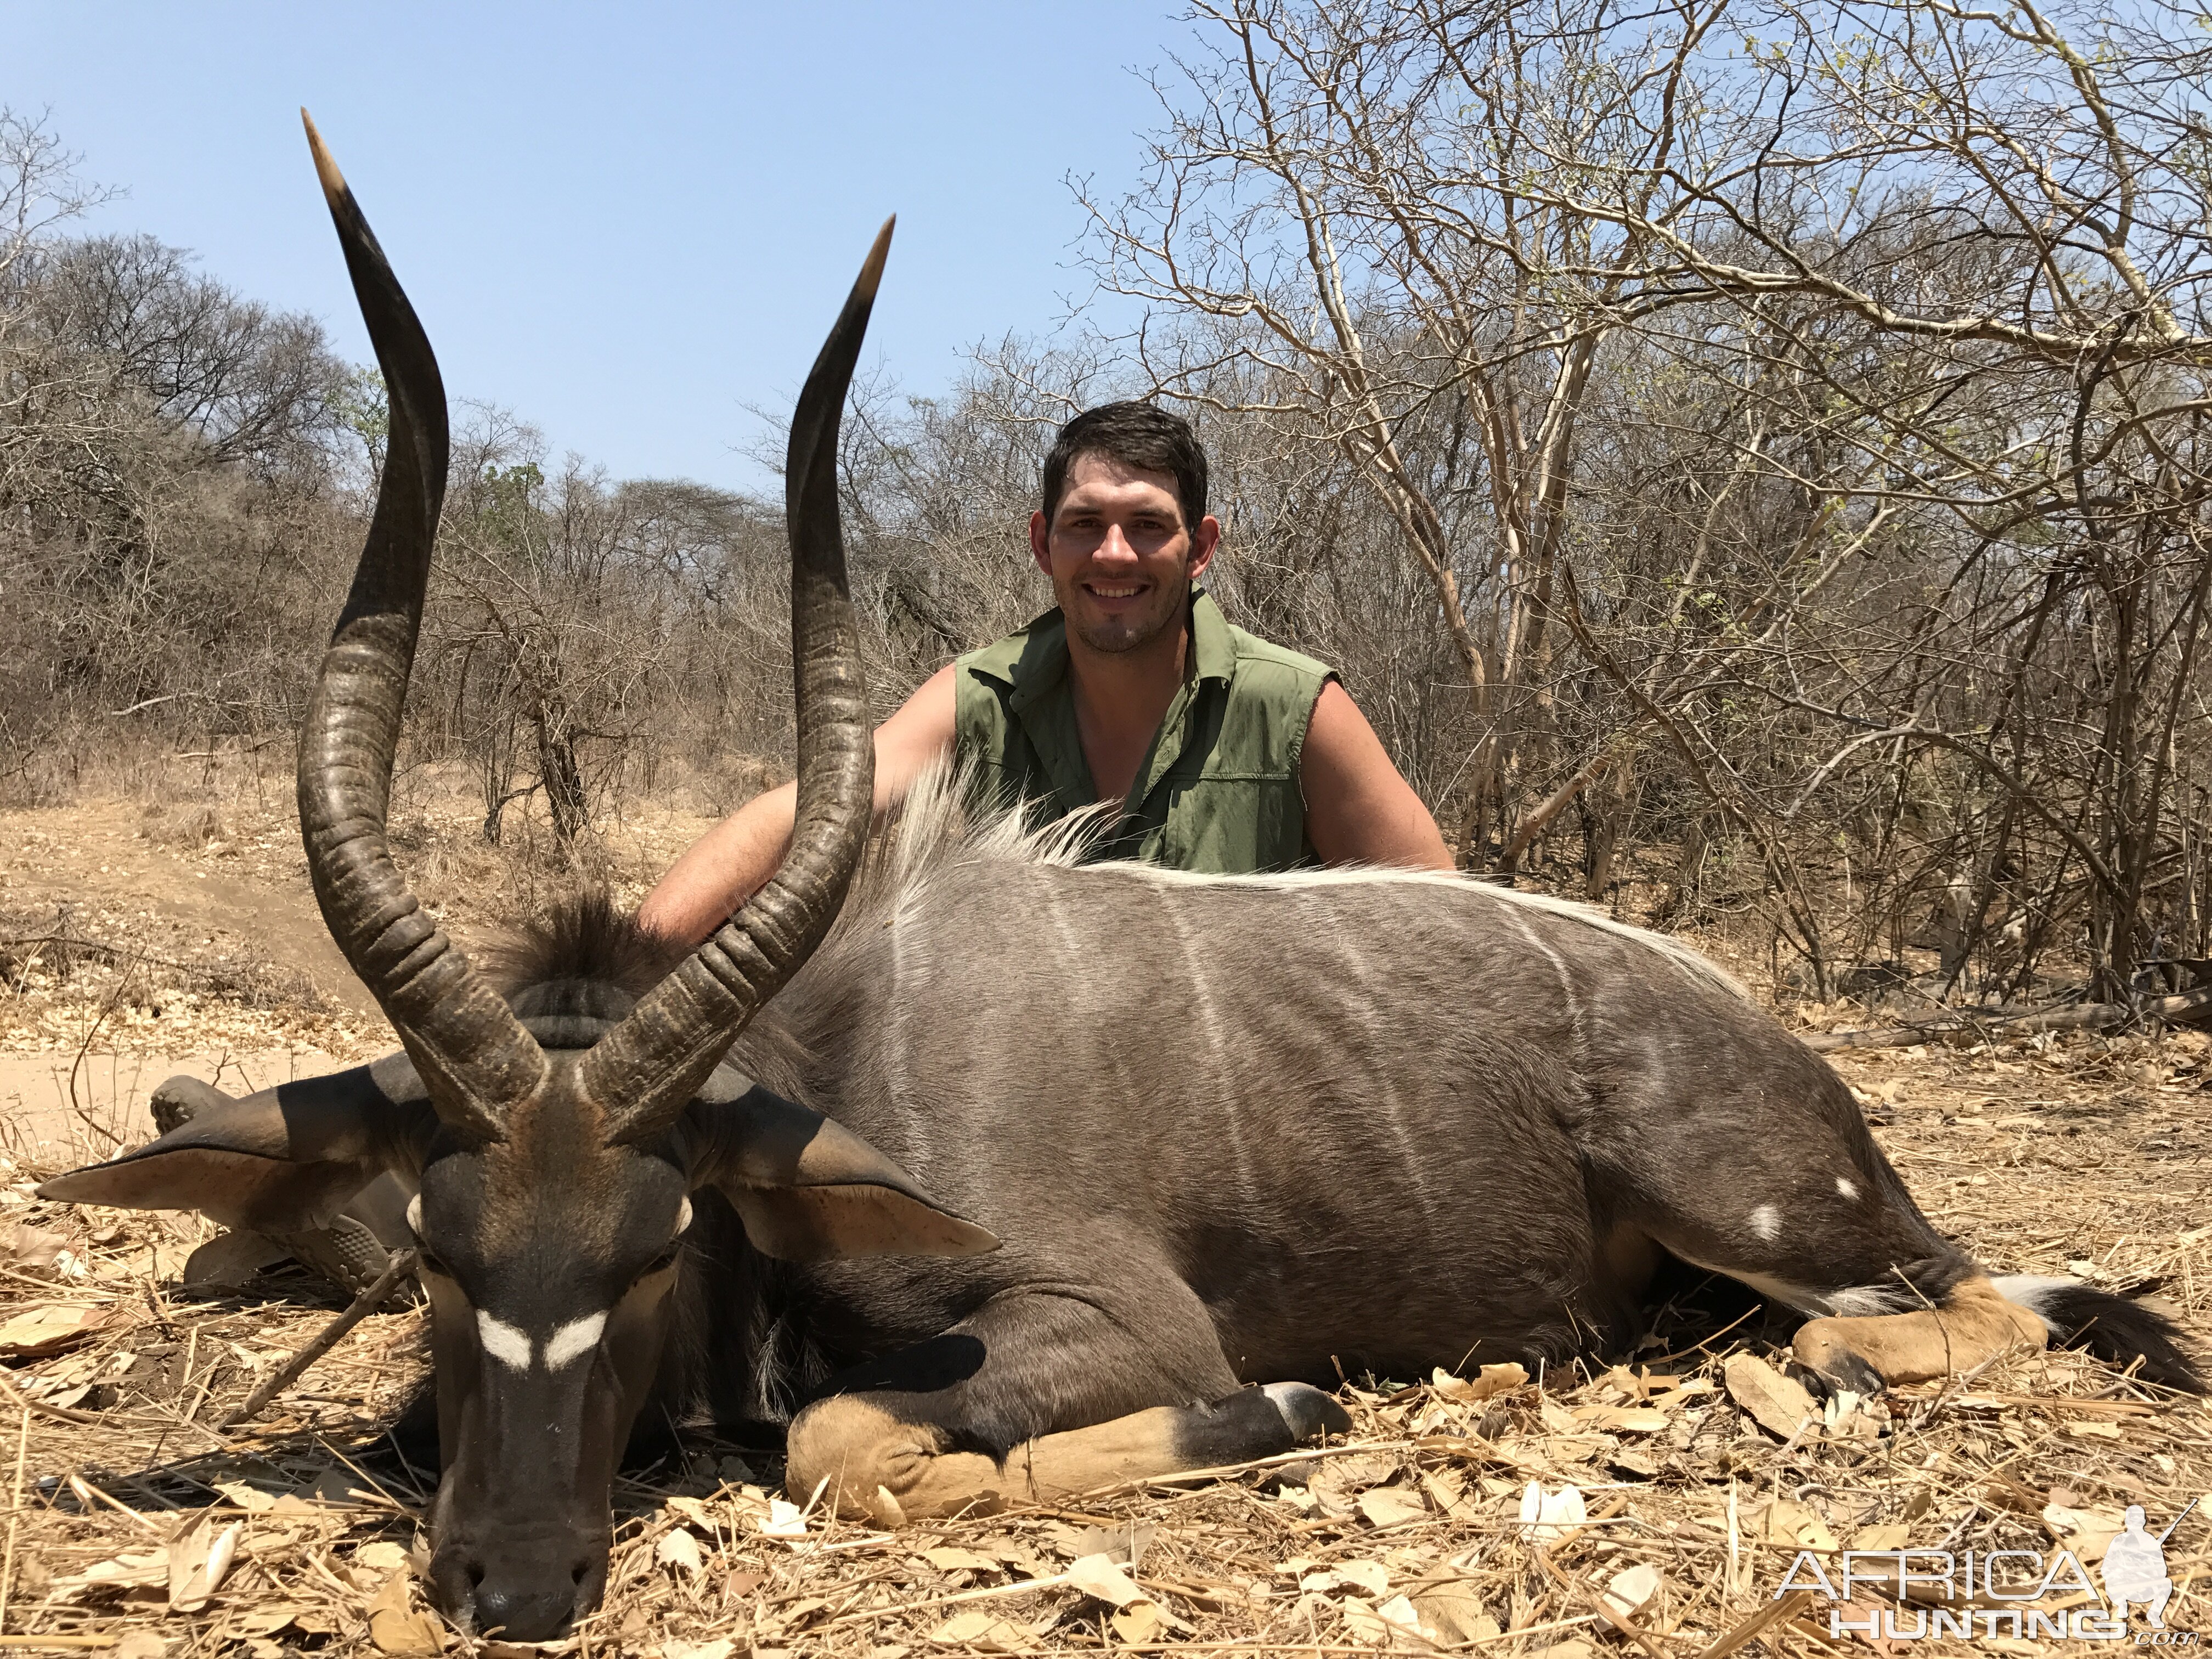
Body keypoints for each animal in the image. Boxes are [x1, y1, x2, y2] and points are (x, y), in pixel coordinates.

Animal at [35, 120, 2194, 1654]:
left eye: (652, 1245)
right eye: (439, 1248)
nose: (517, 1582)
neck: (838, 1060)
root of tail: (1770, 1048)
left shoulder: (1119, 1321)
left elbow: (843, 1439)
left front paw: (1289, 1414)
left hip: (1778, 1227)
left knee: (1932, 1313)